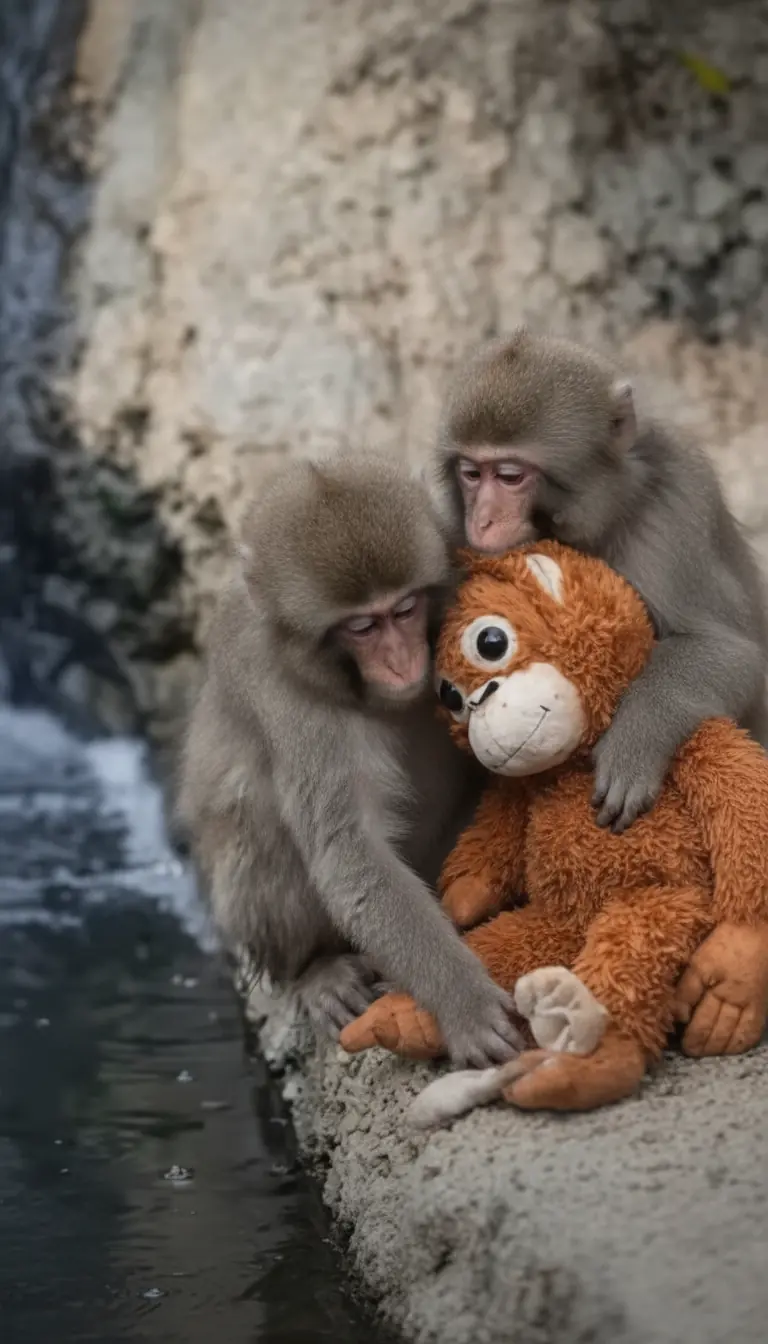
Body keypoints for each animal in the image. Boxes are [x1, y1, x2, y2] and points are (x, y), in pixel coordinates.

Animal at [177, 451, 522, 1068]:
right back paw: (315, 970)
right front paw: (465, 1003)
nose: (402, 660)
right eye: (362, 626)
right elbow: (349, 851)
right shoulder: (286, 696)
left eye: (405, 609)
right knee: (255, 829)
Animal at [428, 328, 768, 834]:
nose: (482, 520)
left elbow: (731, 651)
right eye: (471, 474)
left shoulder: (677, 503)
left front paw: (636, 740)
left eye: (509, 476)